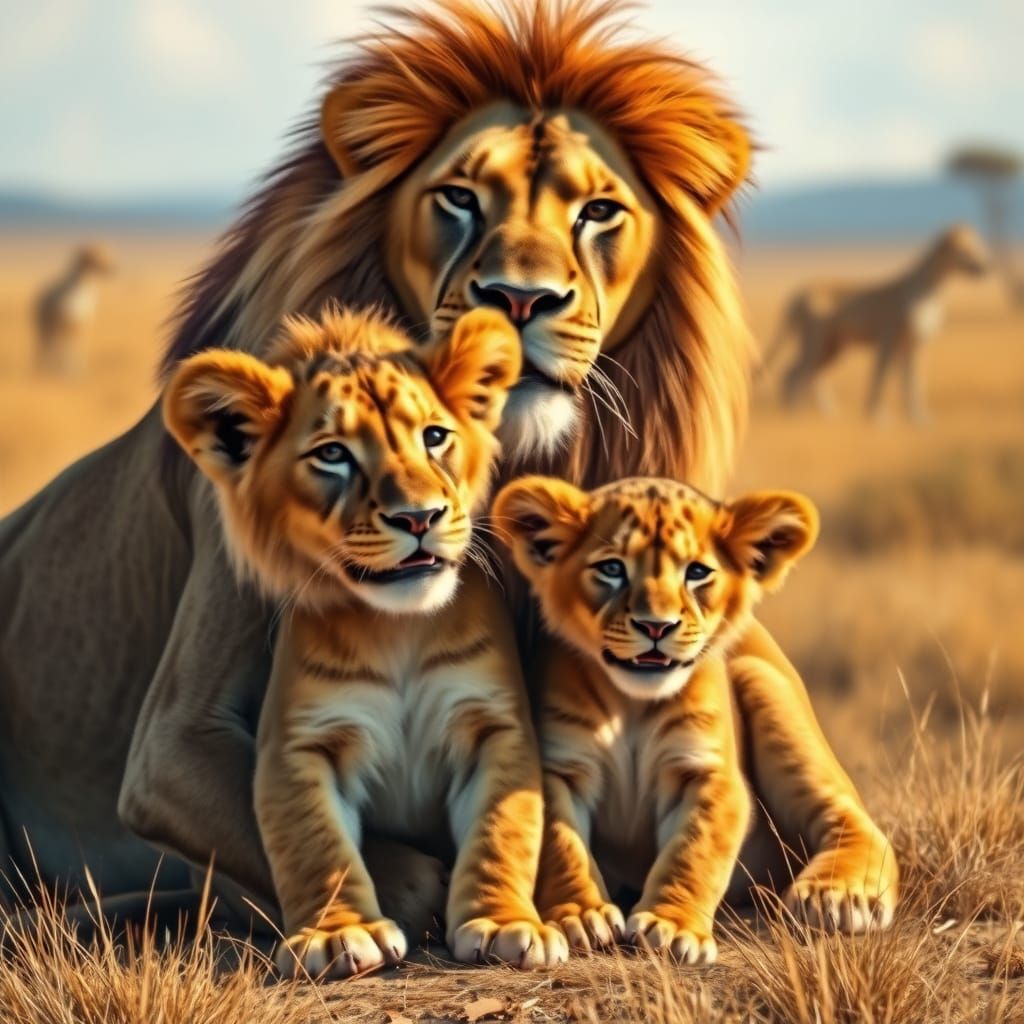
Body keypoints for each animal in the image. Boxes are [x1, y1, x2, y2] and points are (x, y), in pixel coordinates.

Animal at [497, 476, 897, 950]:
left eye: (697, 572)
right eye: (612, 569)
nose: (656, 626)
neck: (633, 705)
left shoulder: (710, 773)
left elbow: (693, 853)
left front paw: (670, 927)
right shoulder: (561, 768)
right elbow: (562, 845)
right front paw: (582, 915)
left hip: (764, 688)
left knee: (853, 817)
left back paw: (838, 895)